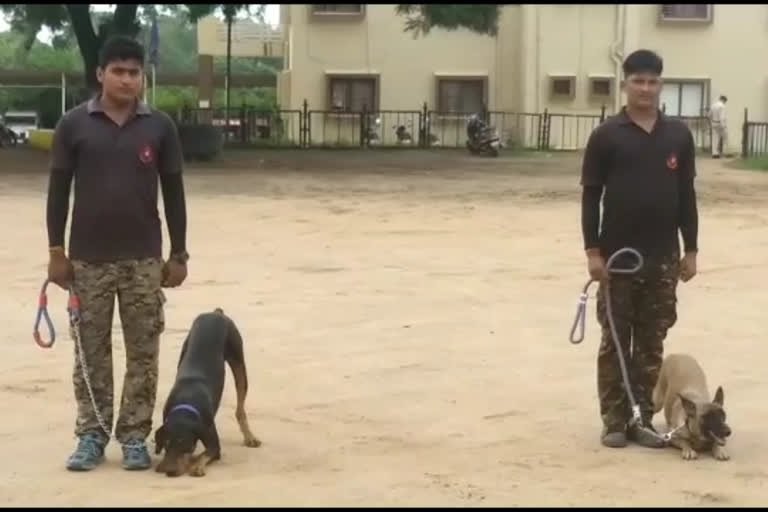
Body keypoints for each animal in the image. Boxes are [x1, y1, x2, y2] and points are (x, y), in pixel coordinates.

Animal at [153, 308, 260, 476]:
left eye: (185, 445)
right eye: (166, 444)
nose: (169, 471)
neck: (186, 402)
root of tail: (215, 312)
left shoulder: (212, 440)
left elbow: (206, 453)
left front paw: (196, 466)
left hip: (238, 360)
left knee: (240, 406)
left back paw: (250, 437)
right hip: (185, 349)